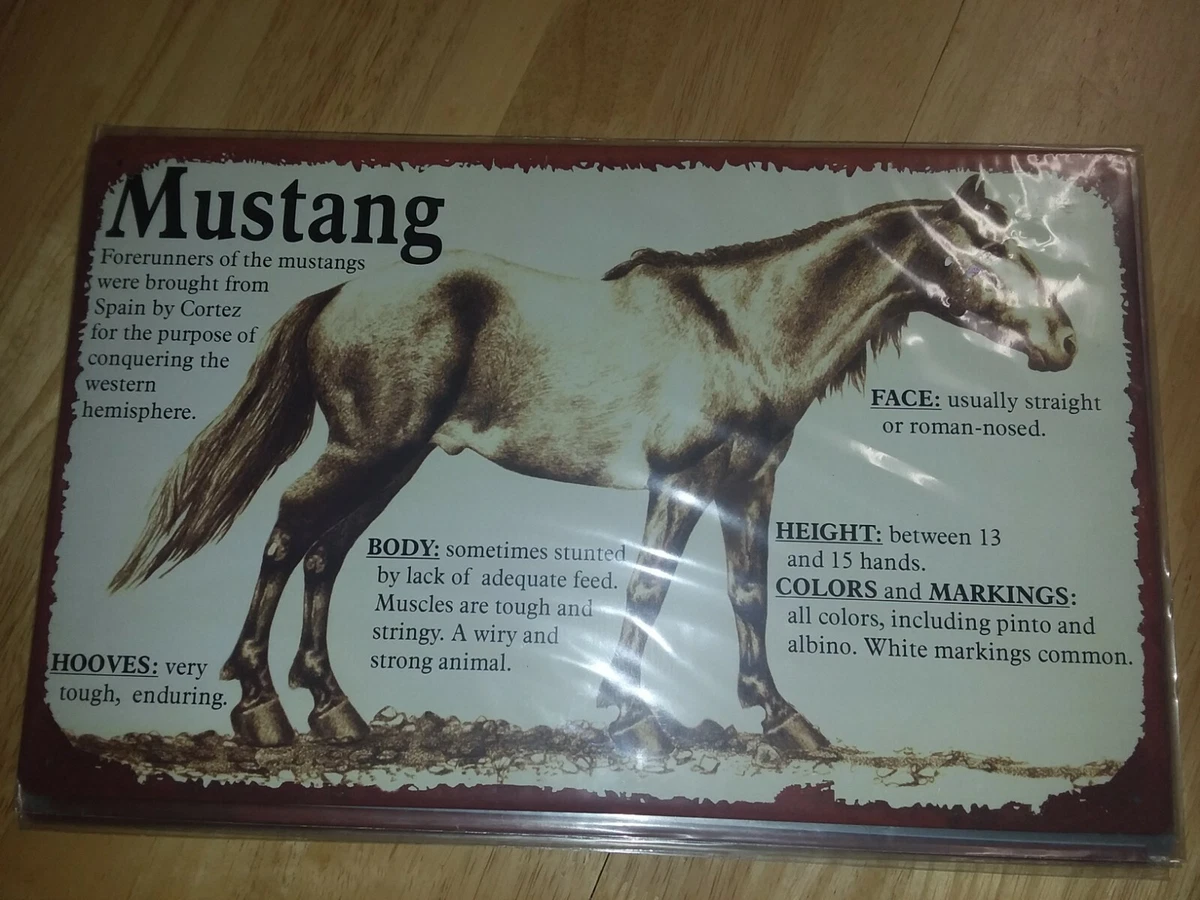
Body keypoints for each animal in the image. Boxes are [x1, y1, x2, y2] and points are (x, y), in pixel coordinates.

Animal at [109, 174, 1076, 754]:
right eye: (990, 248)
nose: (1065, 340)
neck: (741, 329)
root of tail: (335, 292)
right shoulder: (679, 479)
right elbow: (649, 589)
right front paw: (637, 716)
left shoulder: (749, 484)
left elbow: (747, 593)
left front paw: (783, 716)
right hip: (367, 452)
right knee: (286, 533)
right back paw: (261, 707)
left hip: (393, 464)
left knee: (324, 552)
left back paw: (336, 710)